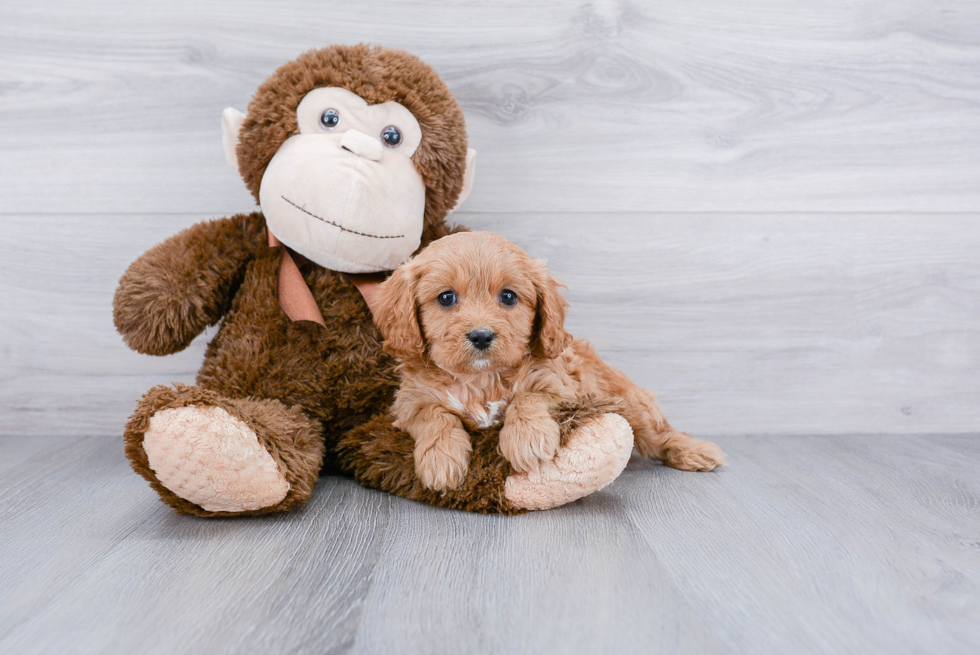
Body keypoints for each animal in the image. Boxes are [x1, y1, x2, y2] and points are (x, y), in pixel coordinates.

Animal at [372, 232, 724, 492]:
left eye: (508, 297)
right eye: (446, 298)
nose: (482, 336)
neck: (481, 379)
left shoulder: (562, 386)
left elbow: (527, 397)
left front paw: (526, 439)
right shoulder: (409, 402)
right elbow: (434, 416)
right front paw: (441, 459)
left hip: (630, 402)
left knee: (659, 434)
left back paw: (695, 451)